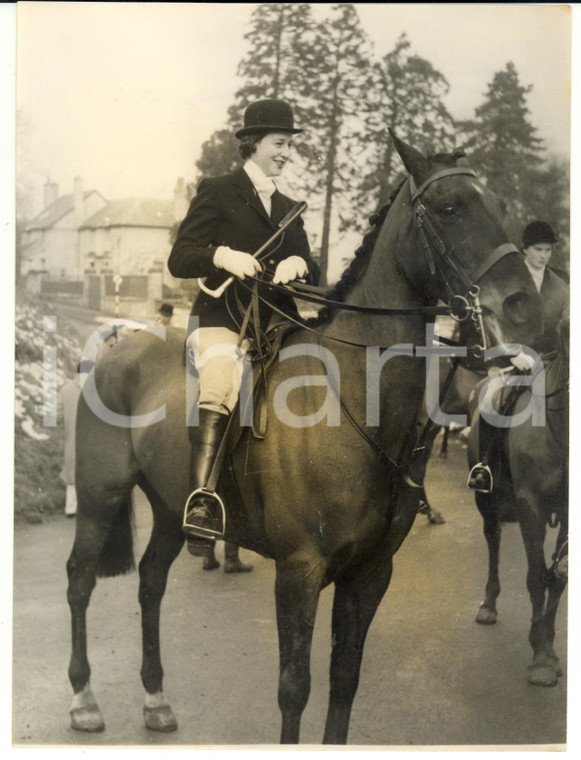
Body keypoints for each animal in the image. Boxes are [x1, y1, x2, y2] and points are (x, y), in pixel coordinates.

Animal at [65, 134, 540, 744]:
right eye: (449, 207)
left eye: (500, 203)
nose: (524, 307)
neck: (353, 398)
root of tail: (116, 348)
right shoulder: (299, 570)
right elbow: (295, 687)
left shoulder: (370, 572)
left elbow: (344, 680)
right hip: (100, 496)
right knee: (80, 581)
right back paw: (84, 700)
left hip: (170, 506)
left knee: (150, 582)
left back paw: (155, 700)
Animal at [468, 314, 568, 688]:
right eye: (567, 329)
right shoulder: (530, 507)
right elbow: (537, 577)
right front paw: (539, 656)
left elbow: (559, 579)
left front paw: (549, 650)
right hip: (487, 501)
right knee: (493, 540)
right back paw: (489, 603)